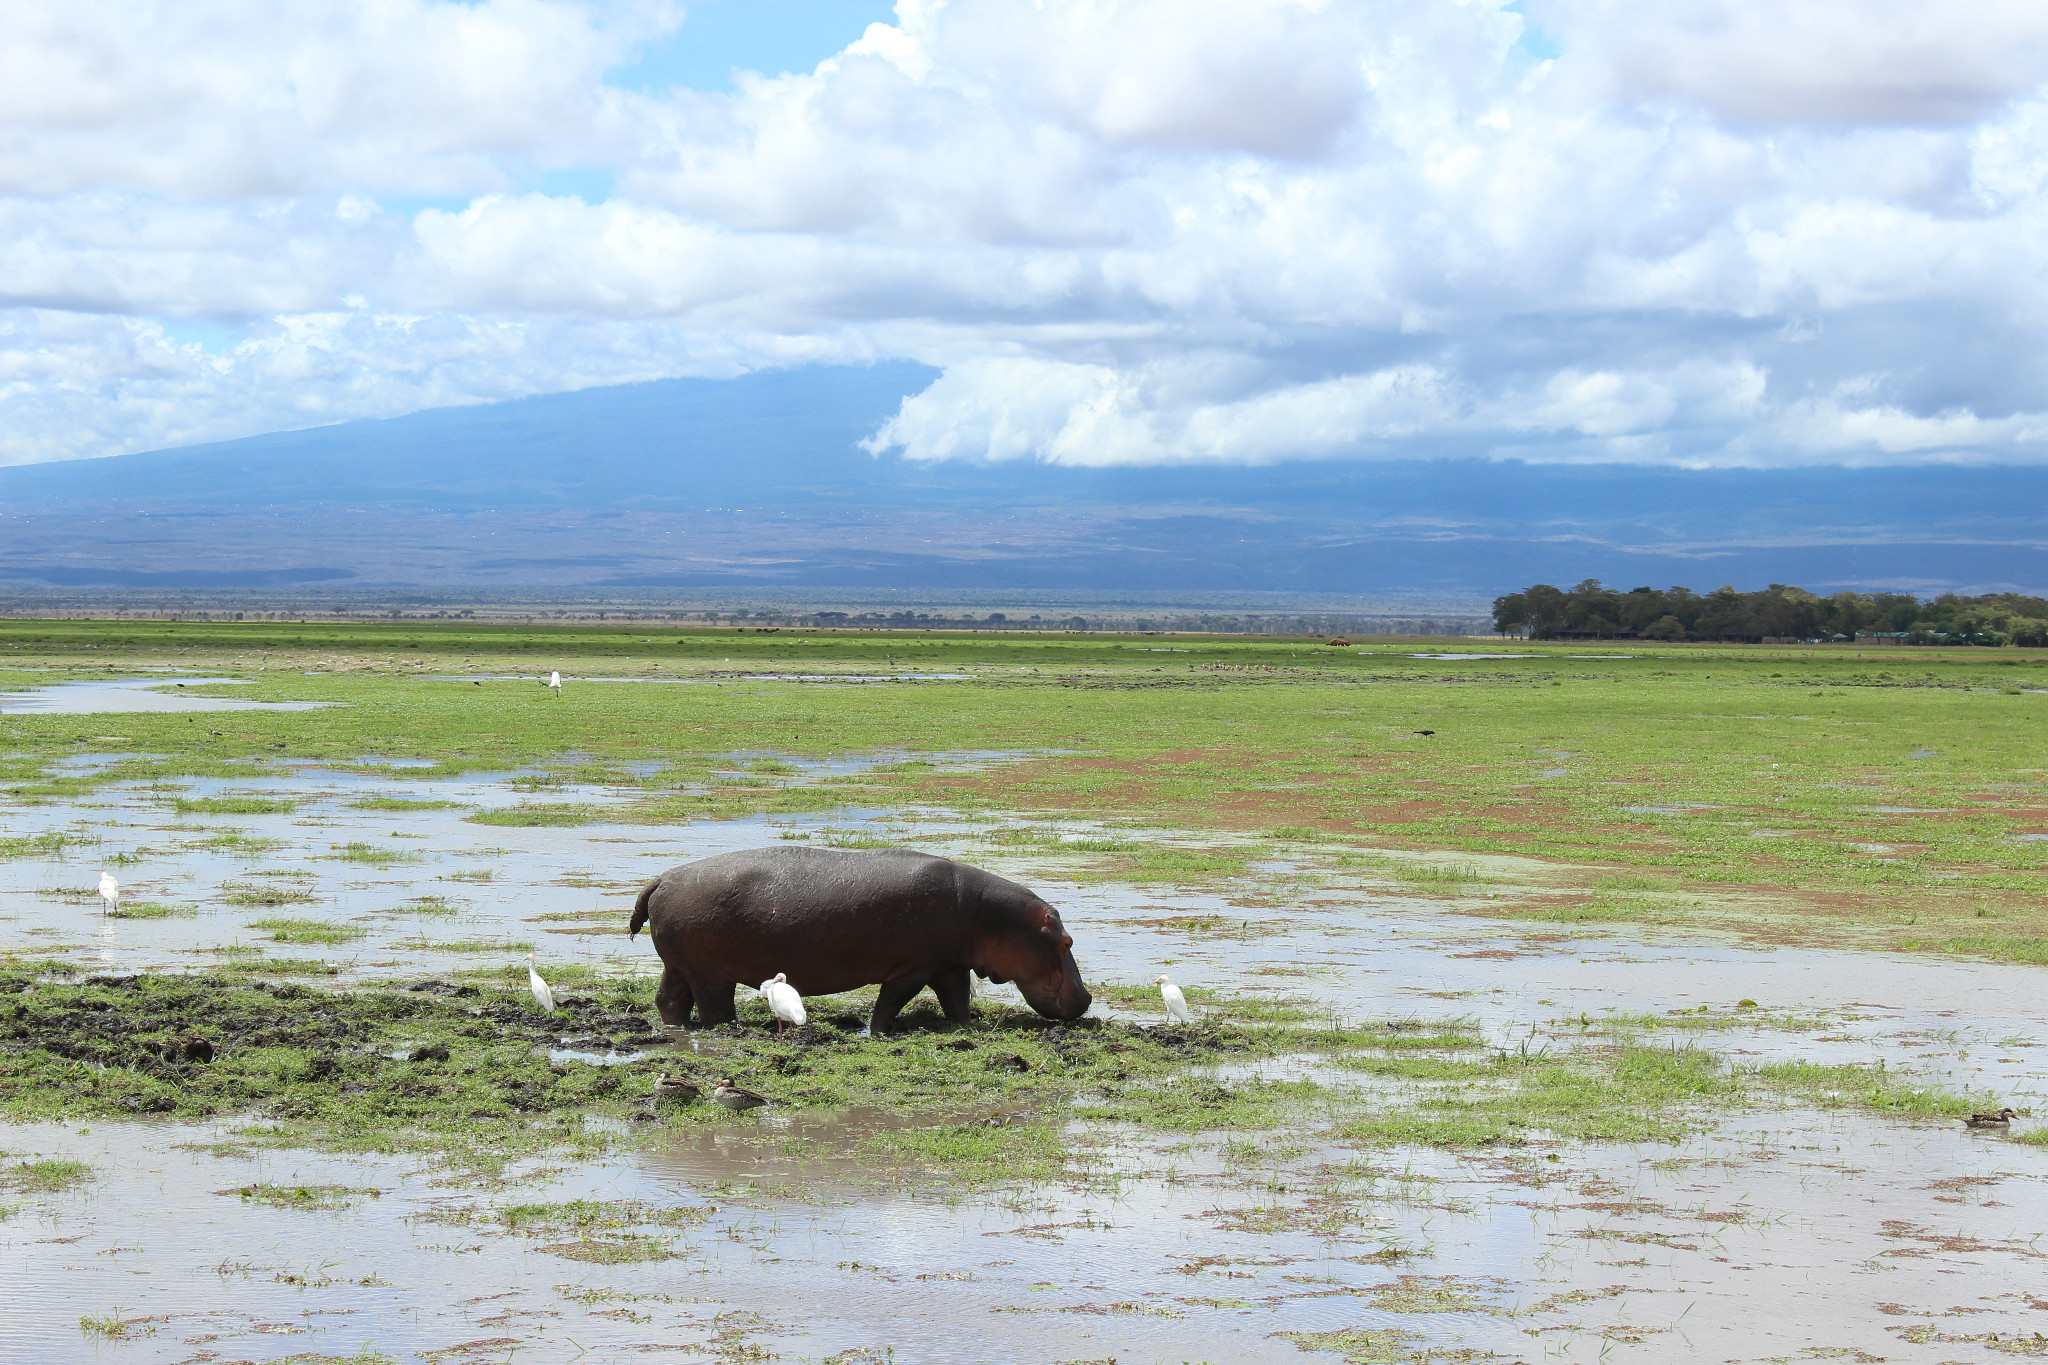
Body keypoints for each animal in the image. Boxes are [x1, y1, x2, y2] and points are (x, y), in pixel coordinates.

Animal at [630, 843, 1097, 1035]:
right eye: (1067, 942)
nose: (1088, 998)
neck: (993, 917)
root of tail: (661, 879)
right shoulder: (915, 967)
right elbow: (891, 1000)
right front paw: (878, 1031)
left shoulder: (948, 963)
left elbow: (957, 999)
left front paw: (968, 1026)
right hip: (710, 973)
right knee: (715, 1009)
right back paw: (731, 1030)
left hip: (678, 965)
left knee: (670, 1000)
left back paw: (677, 1028)